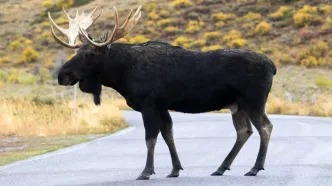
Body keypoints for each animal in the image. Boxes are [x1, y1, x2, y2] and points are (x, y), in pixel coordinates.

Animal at [48, 5, 278, 180]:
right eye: (77, 51)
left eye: (89, 54)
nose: (63, 75)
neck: (122, 75)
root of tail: (272, 65)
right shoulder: (162, 106)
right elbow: (168, 134)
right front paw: (175, 169)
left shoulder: (148, 104)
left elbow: (150, 138)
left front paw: (146, 171)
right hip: (237, 104)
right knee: (244, 131)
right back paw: (221, 168)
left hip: (254, 100)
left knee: (265, 127)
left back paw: (255, 168)